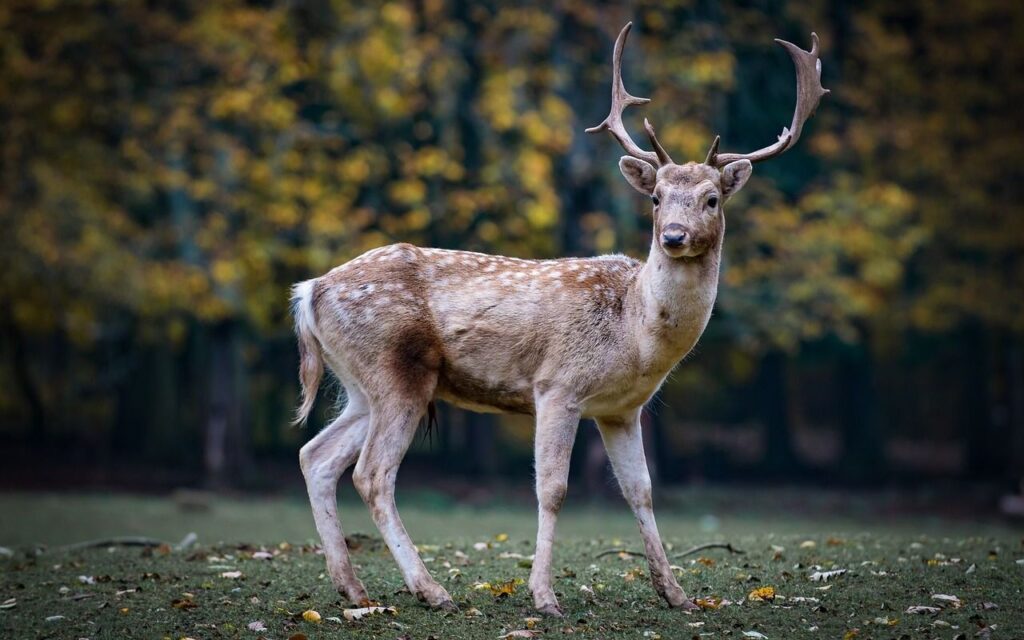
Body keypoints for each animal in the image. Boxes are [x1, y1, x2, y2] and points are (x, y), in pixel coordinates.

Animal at [292, 22, 827, 615]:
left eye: (712, 199)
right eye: (657, 197)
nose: (673, 236)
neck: (635, 333)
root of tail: (309, 291)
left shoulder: (622, 410)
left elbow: (641, 490)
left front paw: (677, 593)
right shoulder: (557, 386)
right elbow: (552, 489)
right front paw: (544, 596)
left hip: (361, 384)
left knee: (316, 455)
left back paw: (353, 588)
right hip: (396, 370)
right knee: (372, 474)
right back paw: (432, 590)